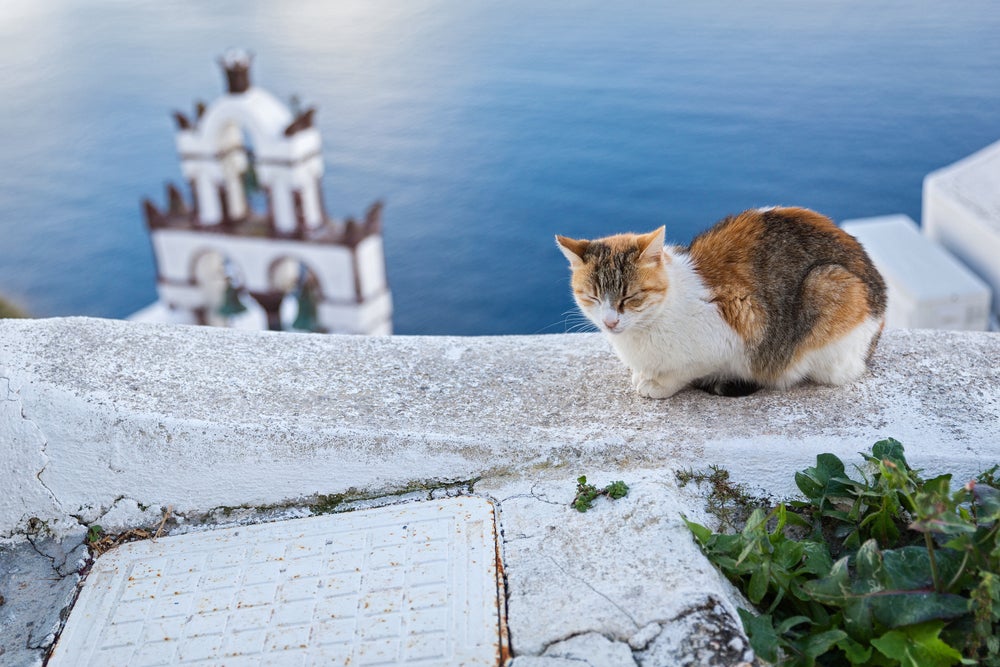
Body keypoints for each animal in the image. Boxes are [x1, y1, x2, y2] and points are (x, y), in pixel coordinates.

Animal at [556, 206, 892, 400]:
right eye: (592, 297)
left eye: (630, 297)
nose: (610, 321)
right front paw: (645, 376)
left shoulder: (738, 325)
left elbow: (685, 370)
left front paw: (658, 384)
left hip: (827, 284)